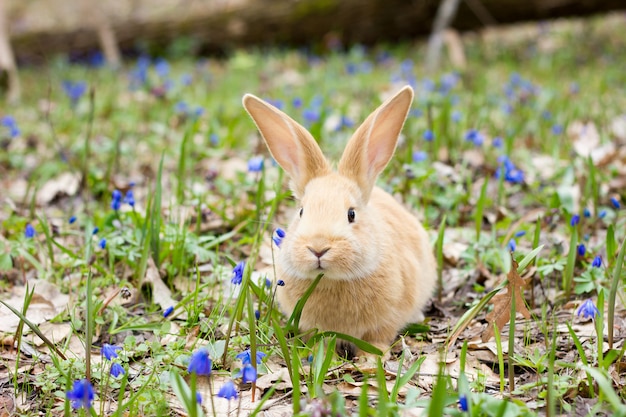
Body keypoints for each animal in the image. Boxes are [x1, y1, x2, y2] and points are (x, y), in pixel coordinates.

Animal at [241, 86, 436, 356]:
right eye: (301, 212)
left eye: (351, 214)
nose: (318, 248)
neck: (332, 279)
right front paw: (319, 354)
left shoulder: (385, 322)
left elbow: (377, 340)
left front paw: (371, 359)